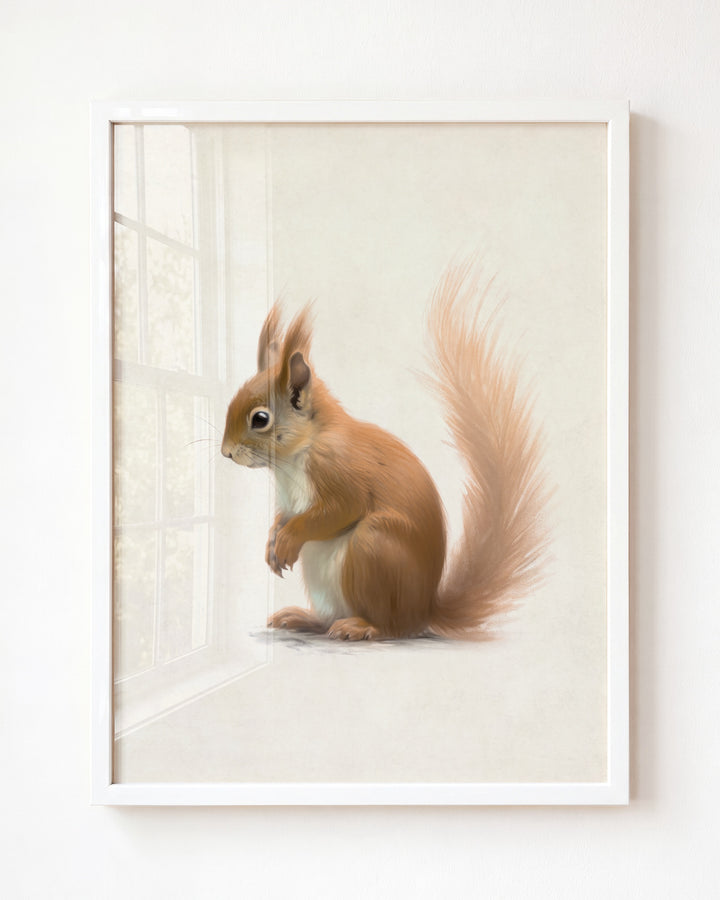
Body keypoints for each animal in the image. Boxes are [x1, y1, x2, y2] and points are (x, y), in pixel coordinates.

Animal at [221, 259, 549, 641]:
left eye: (260, 419)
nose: (226, 452)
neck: (299, 454)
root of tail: (424, 610)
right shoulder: (289, 501)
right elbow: (283, 517)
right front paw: (272, 542)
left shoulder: (340, 472)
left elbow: (339, 509)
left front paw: (288, 539)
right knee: (329, 619)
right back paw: (303, 618)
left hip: (374, 547)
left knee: (390, 626)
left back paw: (361, 627)